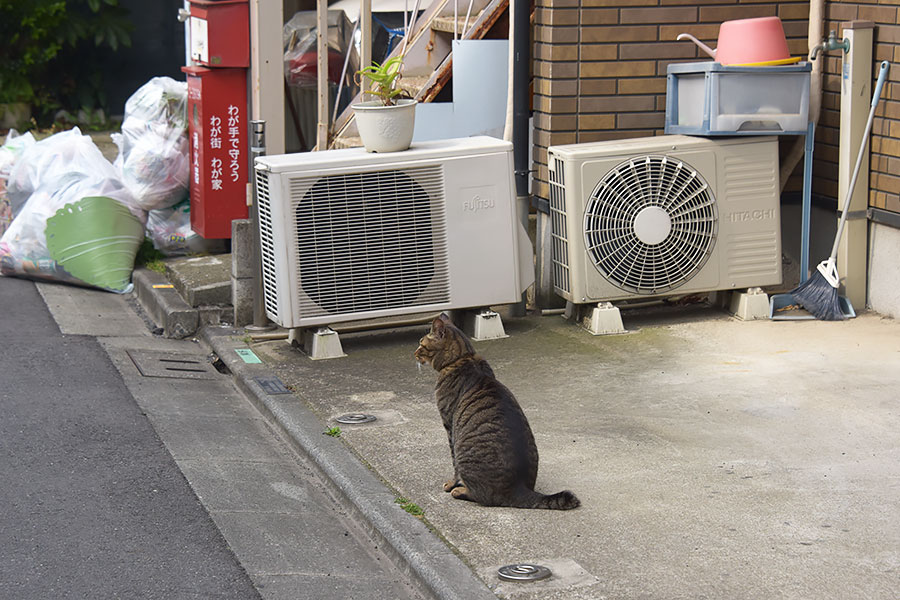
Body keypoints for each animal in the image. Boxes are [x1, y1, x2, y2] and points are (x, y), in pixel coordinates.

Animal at [416, 314, 584, 510]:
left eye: (421, 343)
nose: (415, 353)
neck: (463, 357)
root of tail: (518, 488)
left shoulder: (449, 425)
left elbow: (454, 466)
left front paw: (451, 484)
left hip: (464, 453)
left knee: (483, 497)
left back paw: (460, 491)